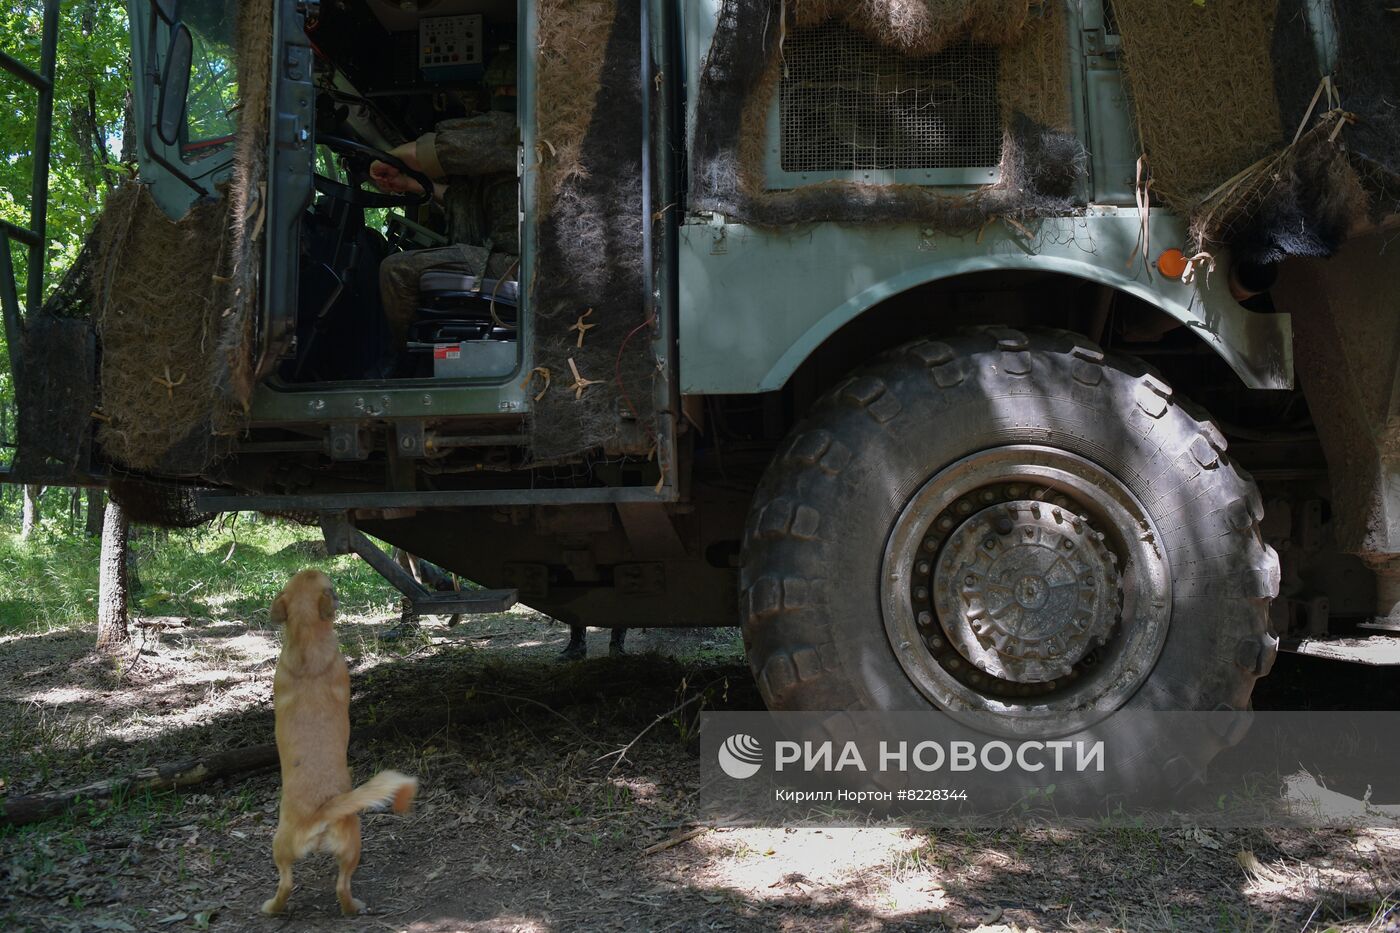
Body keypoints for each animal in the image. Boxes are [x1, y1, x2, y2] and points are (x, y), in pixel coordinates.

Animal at [260, 565, 417, 913]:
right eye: (330, 586)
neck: (306, 644)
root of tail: (320, 812)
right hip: (350, 844)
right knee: (338, 886)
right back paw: (350, 907)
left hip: (283, 848)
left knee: (288, 883)